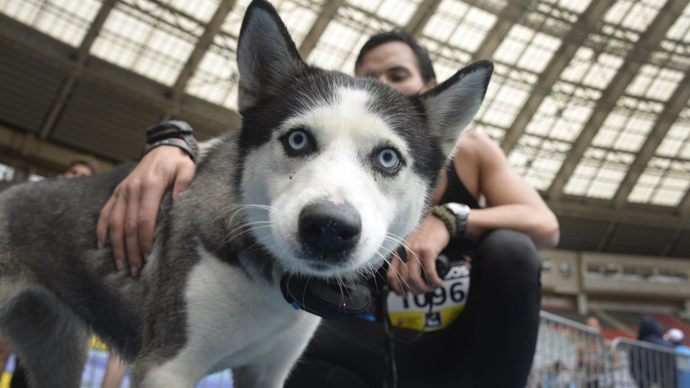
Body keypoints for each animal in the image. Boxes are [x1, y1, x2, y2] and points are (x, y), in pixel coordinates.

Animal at [0, 1, 490, 386]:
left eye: (388, 158)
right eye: (297, 140)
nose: (329, 228)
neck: (273, 285)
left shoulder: (268, 371)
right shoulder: (165, 366)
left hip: (56, 348)